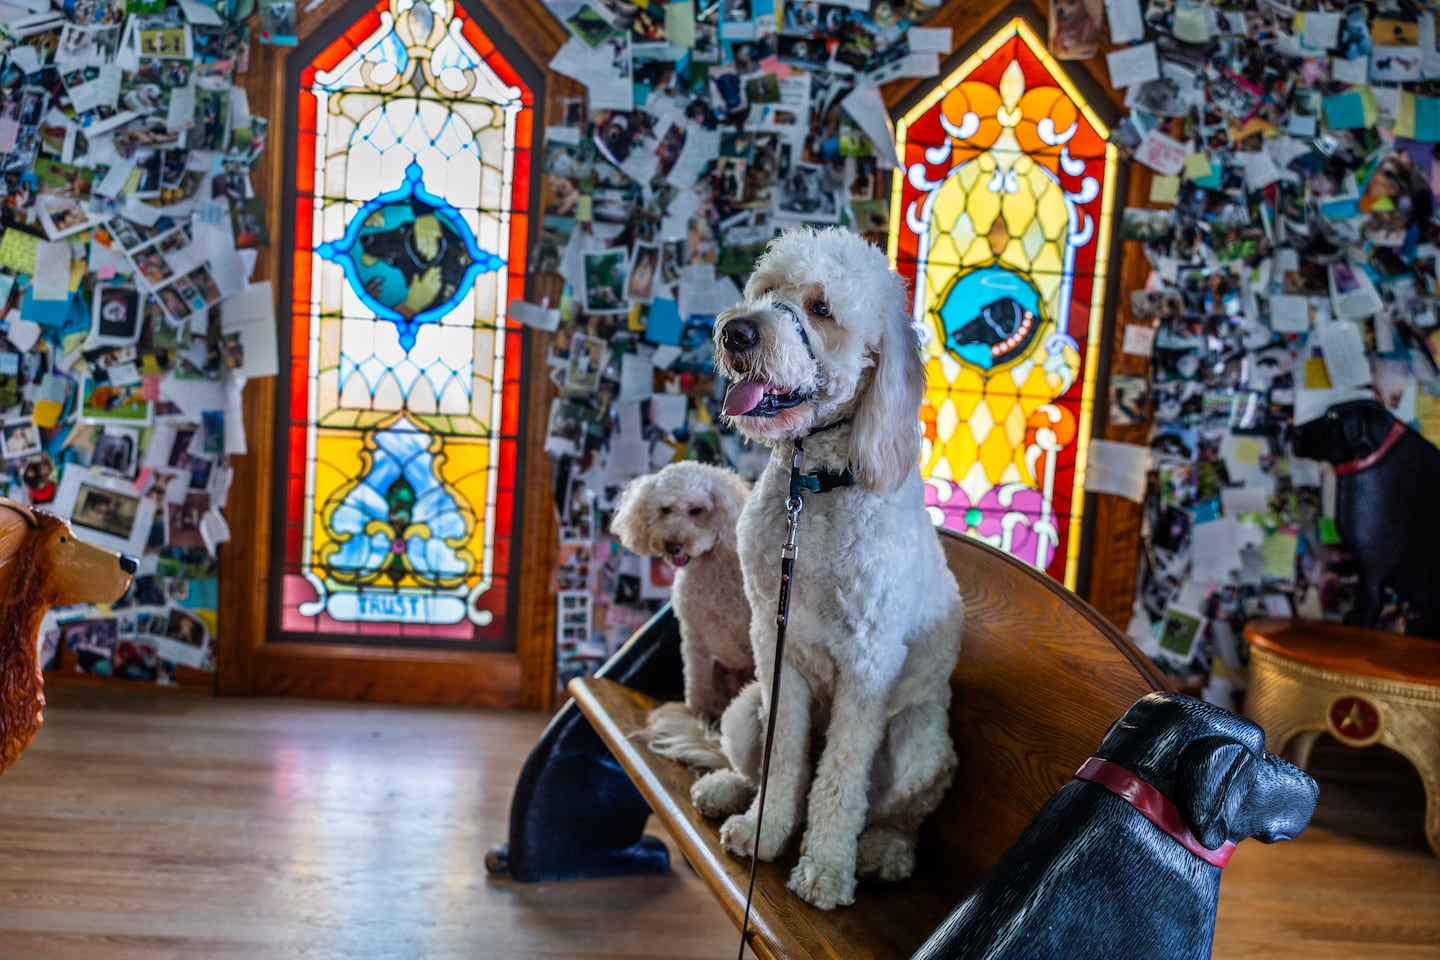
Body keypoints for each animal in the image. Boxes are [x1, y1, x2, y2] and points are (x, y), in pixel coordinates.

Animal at [610, 460, 754, 725]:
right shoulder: (694, 637)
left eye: (696, 510)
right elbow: (696, 684)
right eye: (665, 509)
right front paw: (698, 716)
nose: (673, 546)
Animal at [691, 225, 961, 909]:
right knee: (753, 758)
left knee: (899, 812)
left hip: (919, 740)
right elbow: (784, 758)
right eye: (766, 290)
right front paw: (765, 830)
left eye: (821, 309)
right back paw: (729, 792)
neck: (812, 490)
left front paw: (825, 869)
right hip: (746, 710)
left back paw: (884, 852)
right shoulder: (775, 646)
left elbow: (839, 778)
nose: (736, 331)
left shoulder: (869, 665)